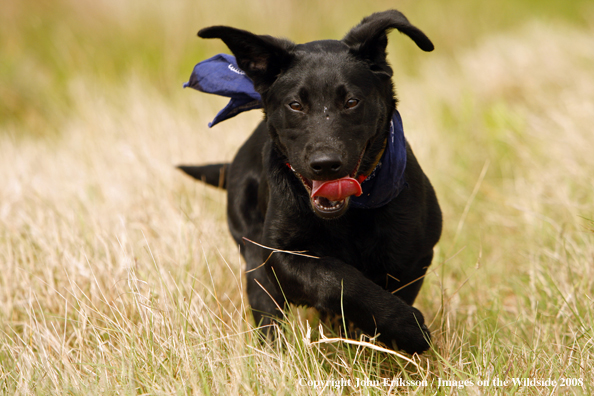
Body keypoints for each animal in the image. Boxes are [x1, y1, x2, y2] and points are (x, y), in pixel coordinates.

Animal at [178, 10, 442, 356]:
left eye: (352, 102)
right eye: (295, 105)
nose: (326, 164)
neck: (349, 215)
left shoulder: (415, 254)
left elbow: (388, 286)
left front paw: (390, 335)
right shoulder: (279, 254)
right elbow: (336, 279)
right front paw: (408, 328)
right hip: (253, 256)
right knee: (268, 312)